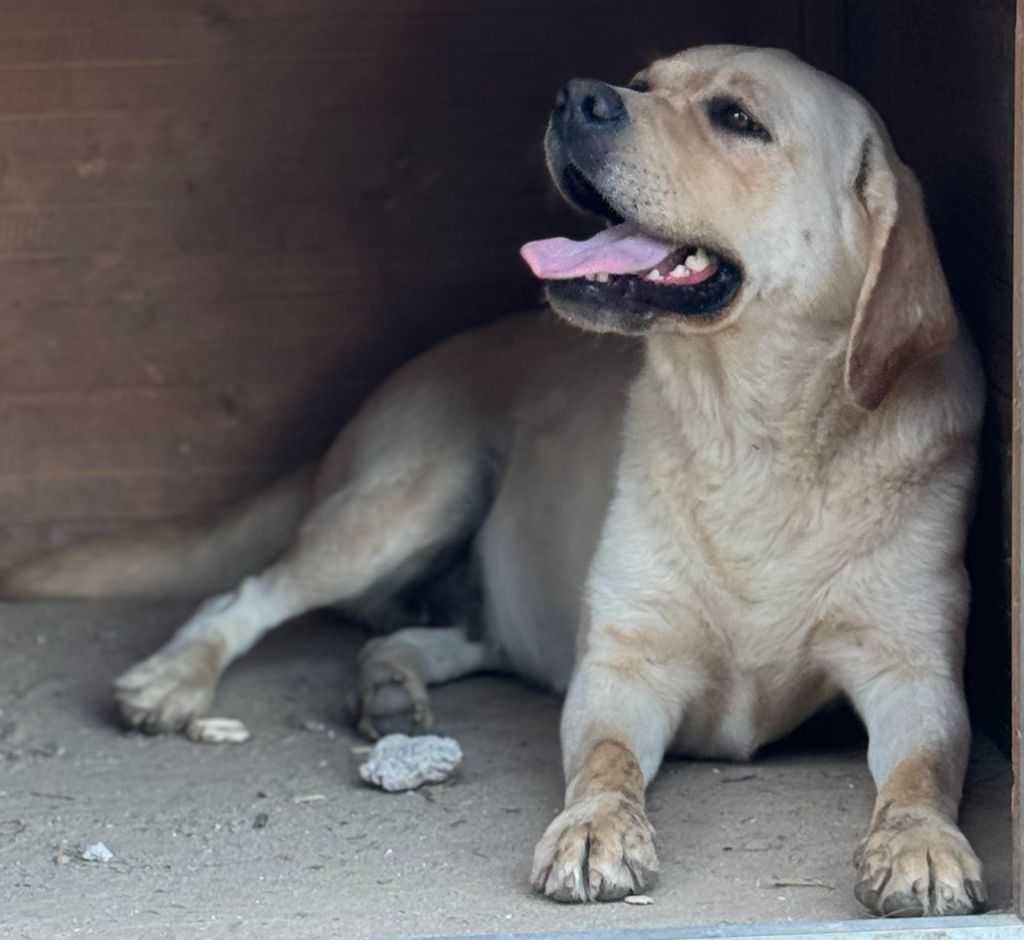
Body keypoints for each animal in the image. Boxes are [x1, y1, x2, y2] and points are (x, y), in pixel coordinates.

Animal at [0, 47, 983, 917]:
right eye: (644, 79)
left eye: (738, 118)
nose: (578, 95)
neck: (754, 440)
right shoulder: (621, 665)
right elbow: (606, 762)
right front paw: (595, 829)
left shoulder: (914, 673)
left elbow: (925, 771)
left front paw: (923, 844)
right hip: (411, 501)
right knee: (244, 596)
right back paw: (173, 679)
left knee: (429, 634)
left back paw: (389, 687)